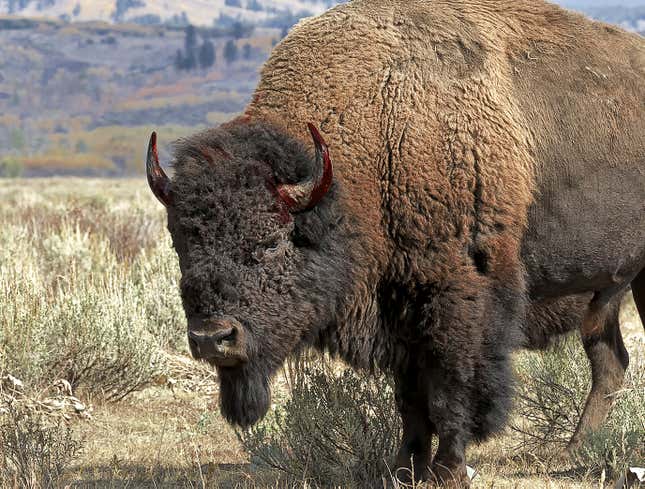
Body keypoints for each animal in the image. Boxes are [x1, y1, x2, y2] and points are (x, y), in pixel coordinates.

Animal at [146, 0, 644, 484]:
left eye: (271, 241)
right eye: (180, 243)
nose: (212, 338)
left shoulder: (456, 301)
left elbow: (451, 390)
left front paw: (448, 471)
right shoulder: (396, 311)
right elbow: (410, 399)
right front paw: (404, 467)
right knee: (610, 361)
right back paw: (576, 447)